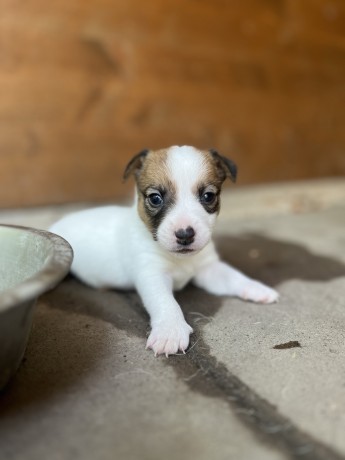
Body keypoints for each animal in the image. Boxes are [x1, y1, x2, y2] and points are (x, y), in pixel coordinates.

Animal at [50, 146, 276, 358]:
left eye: (208, 196)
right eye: (155, 198)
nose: (185, 234)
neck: (180, 260)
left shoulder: (208, 268)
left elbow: (233, 277)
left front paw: (256, 288)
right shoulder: (152, 274)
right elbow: (165, 302)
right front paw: (171, 331)